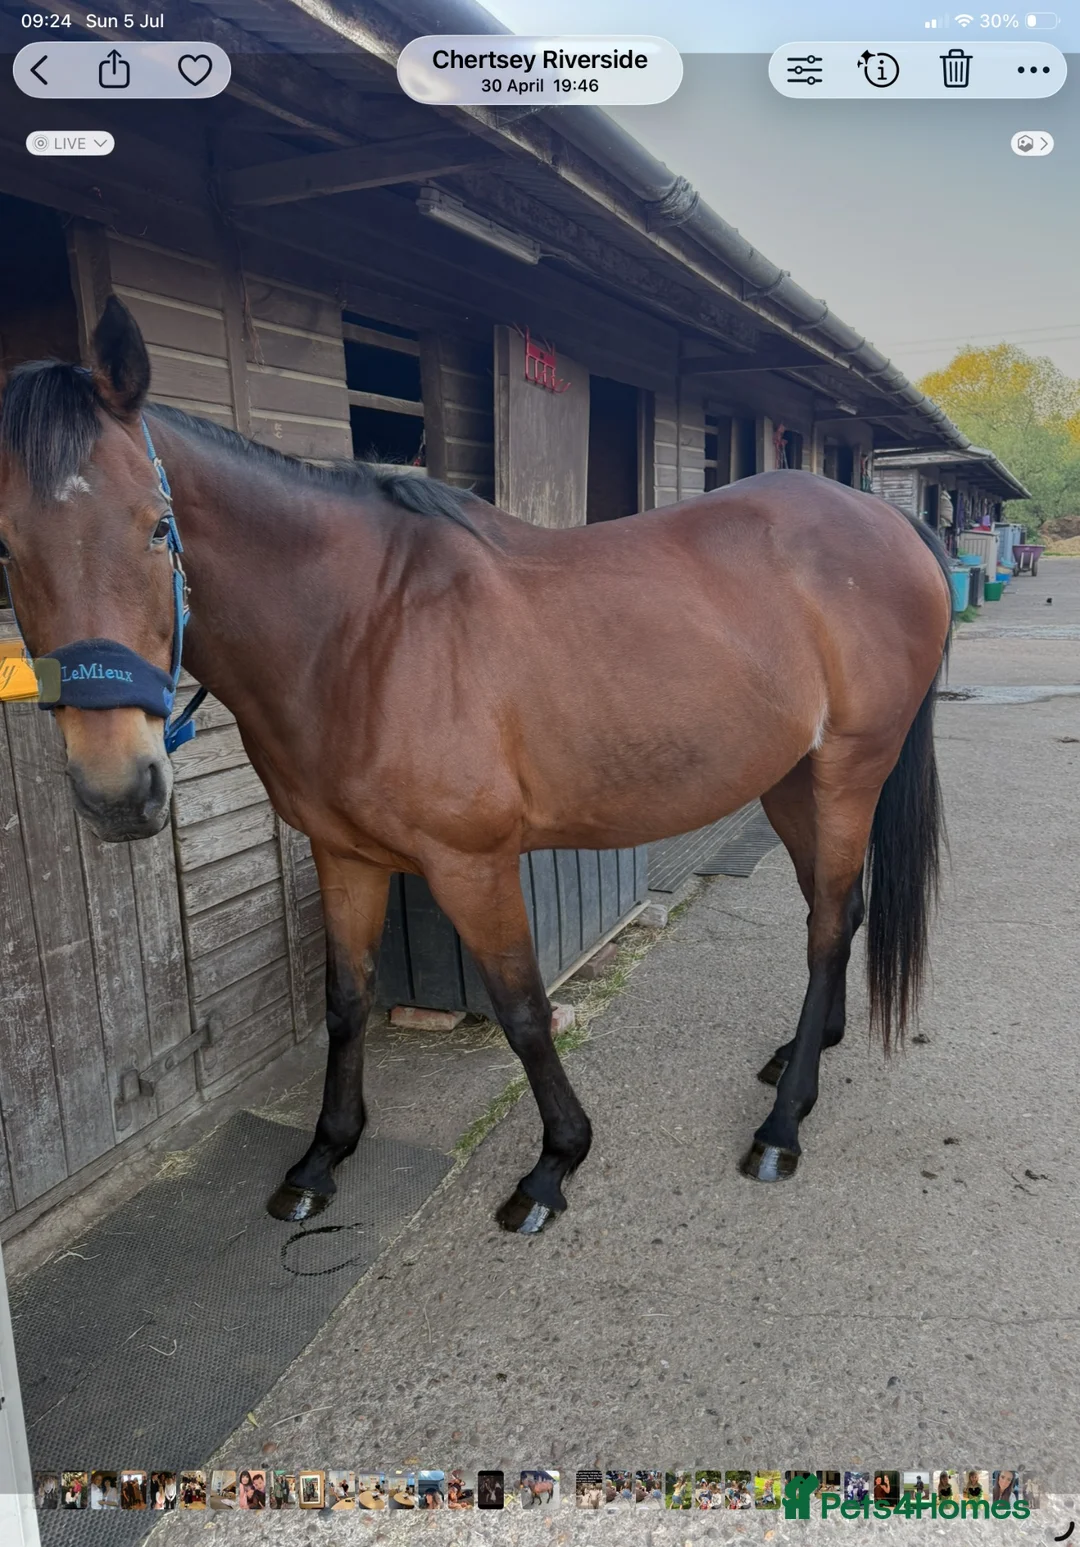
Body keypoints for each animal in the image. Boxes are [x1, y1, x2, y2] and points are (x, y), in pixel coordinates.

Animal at [0, 297, 951, 1234]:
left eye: (158, 528)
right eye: (7, 550)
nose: (118, 790)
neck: (363, 629)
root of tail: (887, 520)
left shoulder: (472, 863)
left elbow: (523, 1009)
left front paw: (555, 1161)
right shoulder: (345, 855)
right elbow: (346, 1000)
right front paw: (324, 1154)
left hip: (848, 772)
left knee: (828, 925)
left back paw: (781, 1127)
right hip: (790, 777)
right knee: (836, 911)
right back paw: (803, 1056)